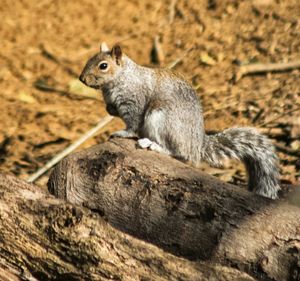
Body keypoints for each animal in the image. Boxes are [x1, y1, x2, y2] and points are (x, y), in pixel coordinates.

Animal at [79, 42, 282, 199]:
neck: (122, 77)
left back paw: (153, 145)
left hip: (161, 120)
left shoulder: (134, 103)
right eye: (89, 59)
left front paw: (122, 132)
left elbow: (132, 124)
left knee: (178, 152)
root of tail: (197, 144)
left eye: (103, 66)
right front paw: (109, 109)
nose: (81, 79)